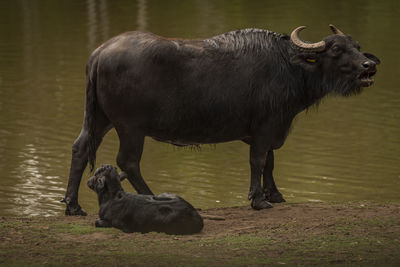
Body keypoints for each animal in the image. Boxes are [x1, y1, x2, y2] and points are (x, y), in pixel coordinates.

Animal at [61, 25, 380, 217]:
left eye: (357, 45)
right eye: (336, 50)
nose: (369, 66)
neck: (288, 67)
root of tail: (100, 53)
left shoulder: (272, 128)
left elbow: (271, 161)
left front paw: (275, 194)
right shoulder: (265, 127)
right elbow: (259, 161)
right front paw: (258, 199)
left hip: (99, 119)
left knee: (80, 148)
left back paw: (73, 206)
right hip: (130, 127)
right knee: (127, 161)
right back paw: (153, 199)